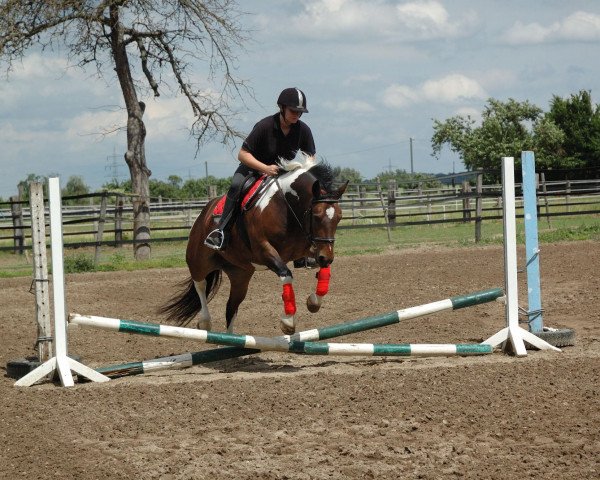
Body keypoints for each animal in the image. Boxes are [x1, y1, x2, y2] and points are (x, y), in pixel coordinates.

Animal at [159, 153, 346, 334]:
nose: (327, 257)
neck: (286, 208)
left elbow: (324, 272)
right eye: (316, 215)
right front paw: (288, 322)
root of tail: (202, 214)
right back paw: (205, 322)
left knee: (231, 307)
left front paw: (313, 302)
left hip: (240, 275)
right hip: (199, 261)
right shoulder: (264, 250)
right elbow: (286, 275)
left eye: (339, 217)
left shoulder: (312, 247)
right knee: (200, 284)